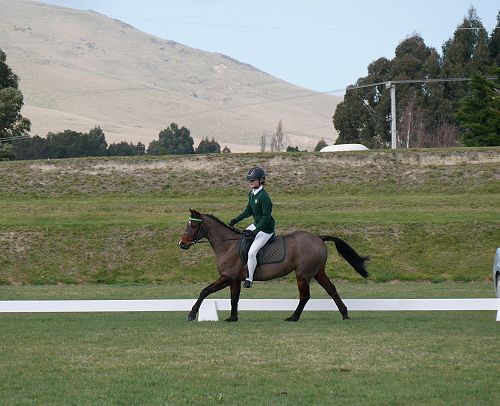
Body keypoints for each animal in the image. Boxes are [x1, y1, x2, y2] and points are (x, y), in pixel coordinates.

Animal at [179, 209, 369, 322]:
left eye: (193, 224)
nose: (182, 243)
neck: (227, 244)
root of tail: (318, 238)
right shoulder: (234, 280)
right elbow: (234, 299)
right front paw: (232, 318)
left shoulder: (227, 277)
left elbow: (204, 291)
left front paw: (191, 314)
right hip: (317, 272)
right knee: (332, 290)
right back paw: (344, 314)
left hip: (303, 274)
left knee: (305, 296)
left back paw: (293, 317)